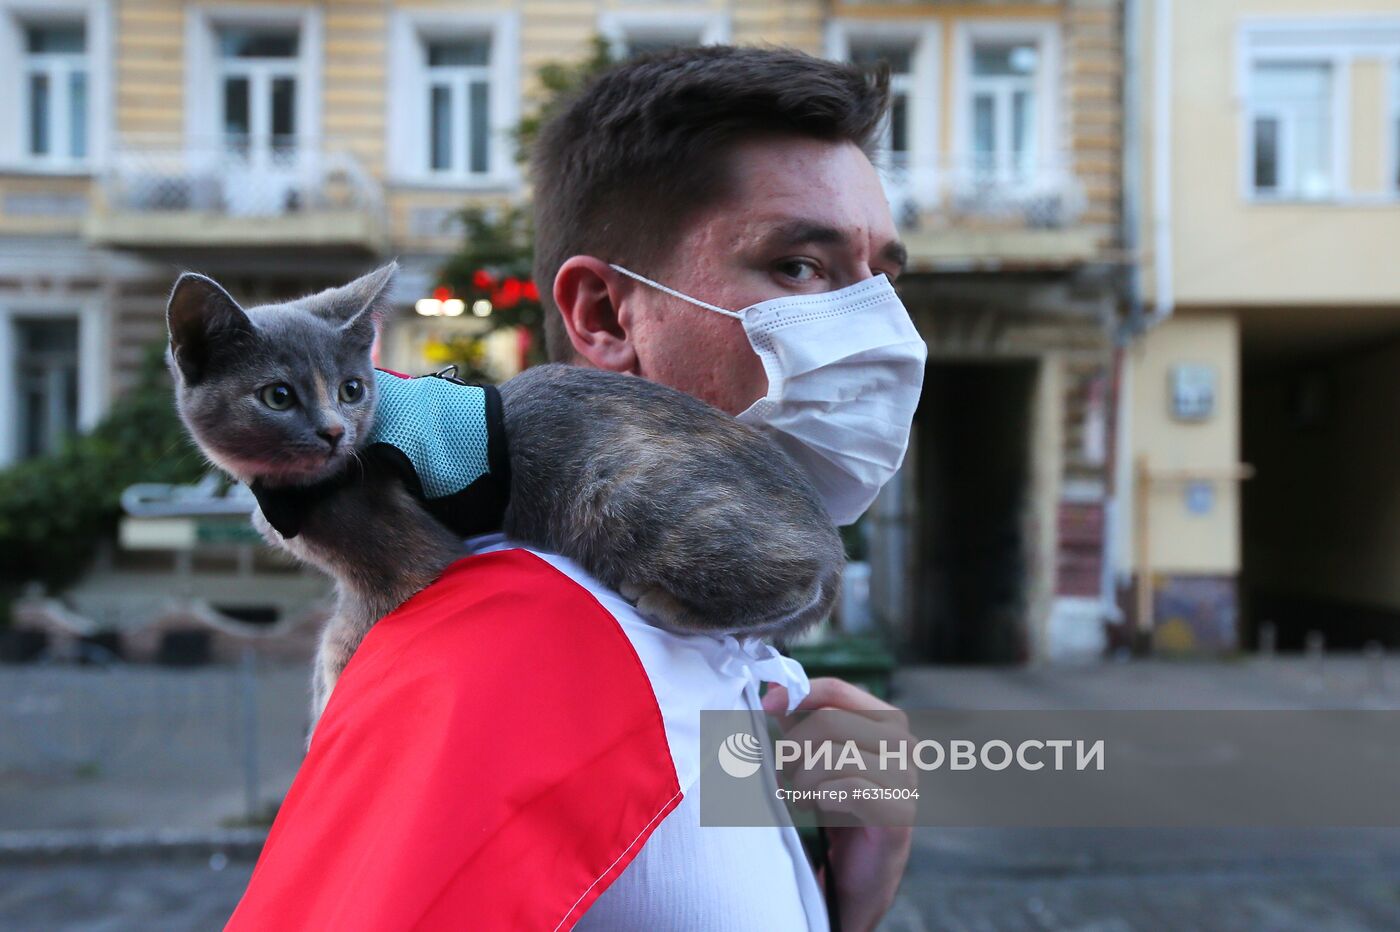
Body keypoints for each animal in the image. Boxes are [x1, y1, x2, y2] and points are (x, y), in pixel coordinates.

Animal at [163, 263, 840, 716]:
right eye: (278, 395)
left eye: (351, 389)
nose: (334, 431)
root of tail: (830, 535)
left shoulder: (406, 559)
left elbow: (342, 636)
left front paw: (330, 696)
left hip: (620, 493)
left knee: (790, 575)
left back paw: (664, 600)